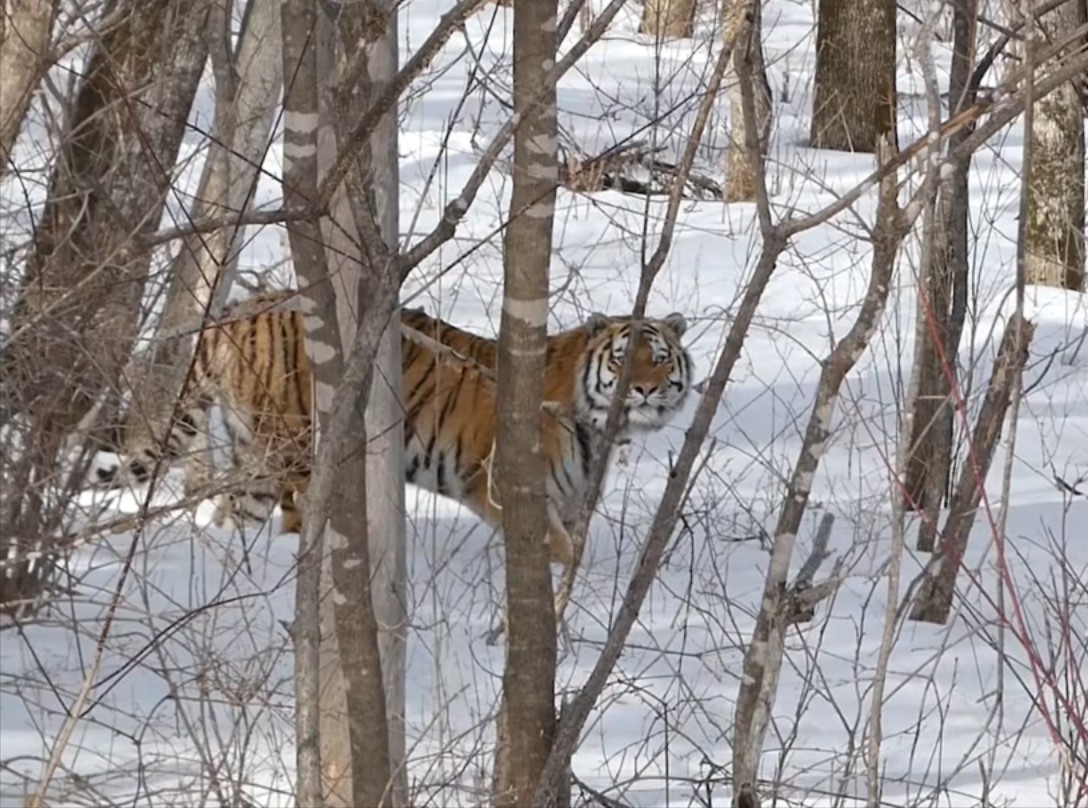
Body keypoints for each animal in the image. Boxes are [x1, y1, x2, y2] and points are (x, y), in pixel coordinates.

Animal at [93, 293, 687, 565]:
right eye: (622, 360)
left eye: (659, 359)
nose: (644, 390)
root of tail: (240, 308)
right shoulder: (502, 486)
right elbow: (558, 550)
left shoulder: (571, 498)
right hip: (296, 449)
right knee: (298, 516)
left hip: (255, 458)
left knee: (233, 519)